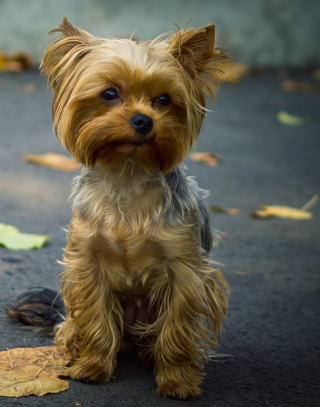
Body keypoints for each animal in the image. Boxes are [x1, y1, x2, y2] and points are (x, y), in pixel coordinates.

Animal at [6, 17, 229, 400]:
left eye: (164, 99)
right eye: (109, 94)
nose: (143, 120)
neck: (127, 173)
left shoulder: (185, 272)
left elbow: (177, 329)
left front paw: (178, 381)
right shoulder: (88, 265)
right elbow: (96, 319)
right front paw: (92, 368)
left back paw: (149, 354)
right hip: (75, 314)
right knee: (74, 324)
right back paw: (74, 349)